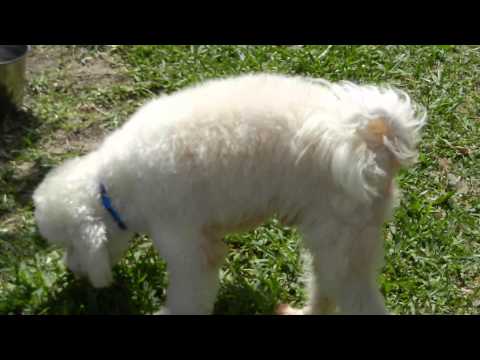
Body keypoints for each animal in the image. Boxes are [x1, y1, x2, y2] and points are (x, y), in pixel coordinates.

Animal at [31, 74, 426, 316]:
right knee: (325, 287)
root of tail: (373, 137)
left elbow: (189, 294)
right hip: (336, 239)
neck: (111, 186)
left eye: (70, 245)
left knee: (356, 298)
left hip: (343, 237)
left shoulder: (186, 245)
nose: (70, 270)